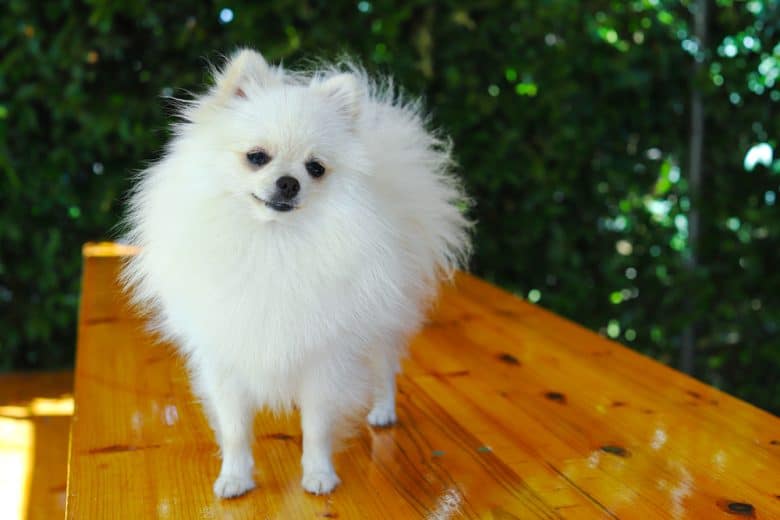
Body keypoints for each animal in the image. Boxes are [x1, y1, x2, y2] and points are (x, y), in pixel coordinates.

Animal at [123, 49, 470, 500]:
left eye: (315, 168)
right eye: (256, 156)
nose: (288, 183)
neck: (272, 243)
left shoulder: (326, 357)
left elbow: (317, 425)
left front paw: (319, 474)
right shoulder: (225, 357)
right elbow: (235, 429)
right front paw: (235, 477)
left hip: (382, 324)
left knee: (384, 369)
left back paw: (382, 411)